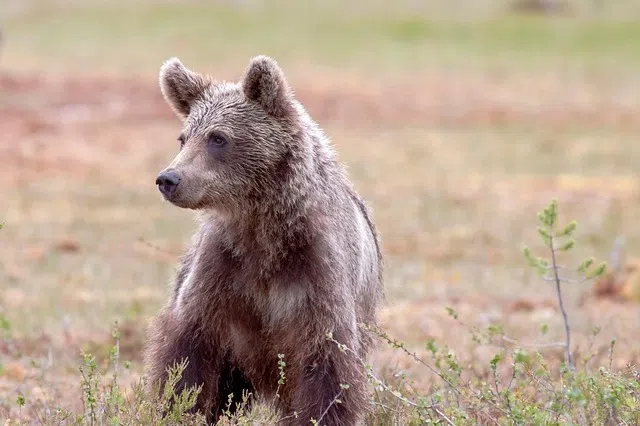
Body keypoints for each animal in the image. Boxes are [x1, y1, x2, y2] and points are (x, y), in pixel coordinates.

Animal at [144, 54, 383, 426]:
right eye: (183, 137)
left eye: (218, 138)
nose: (169, 179)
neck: (264, 230)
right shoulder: (222, 272)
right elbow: (186, 361)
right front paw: (179, 408)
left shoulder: (317, 274)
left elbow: (328, 372)